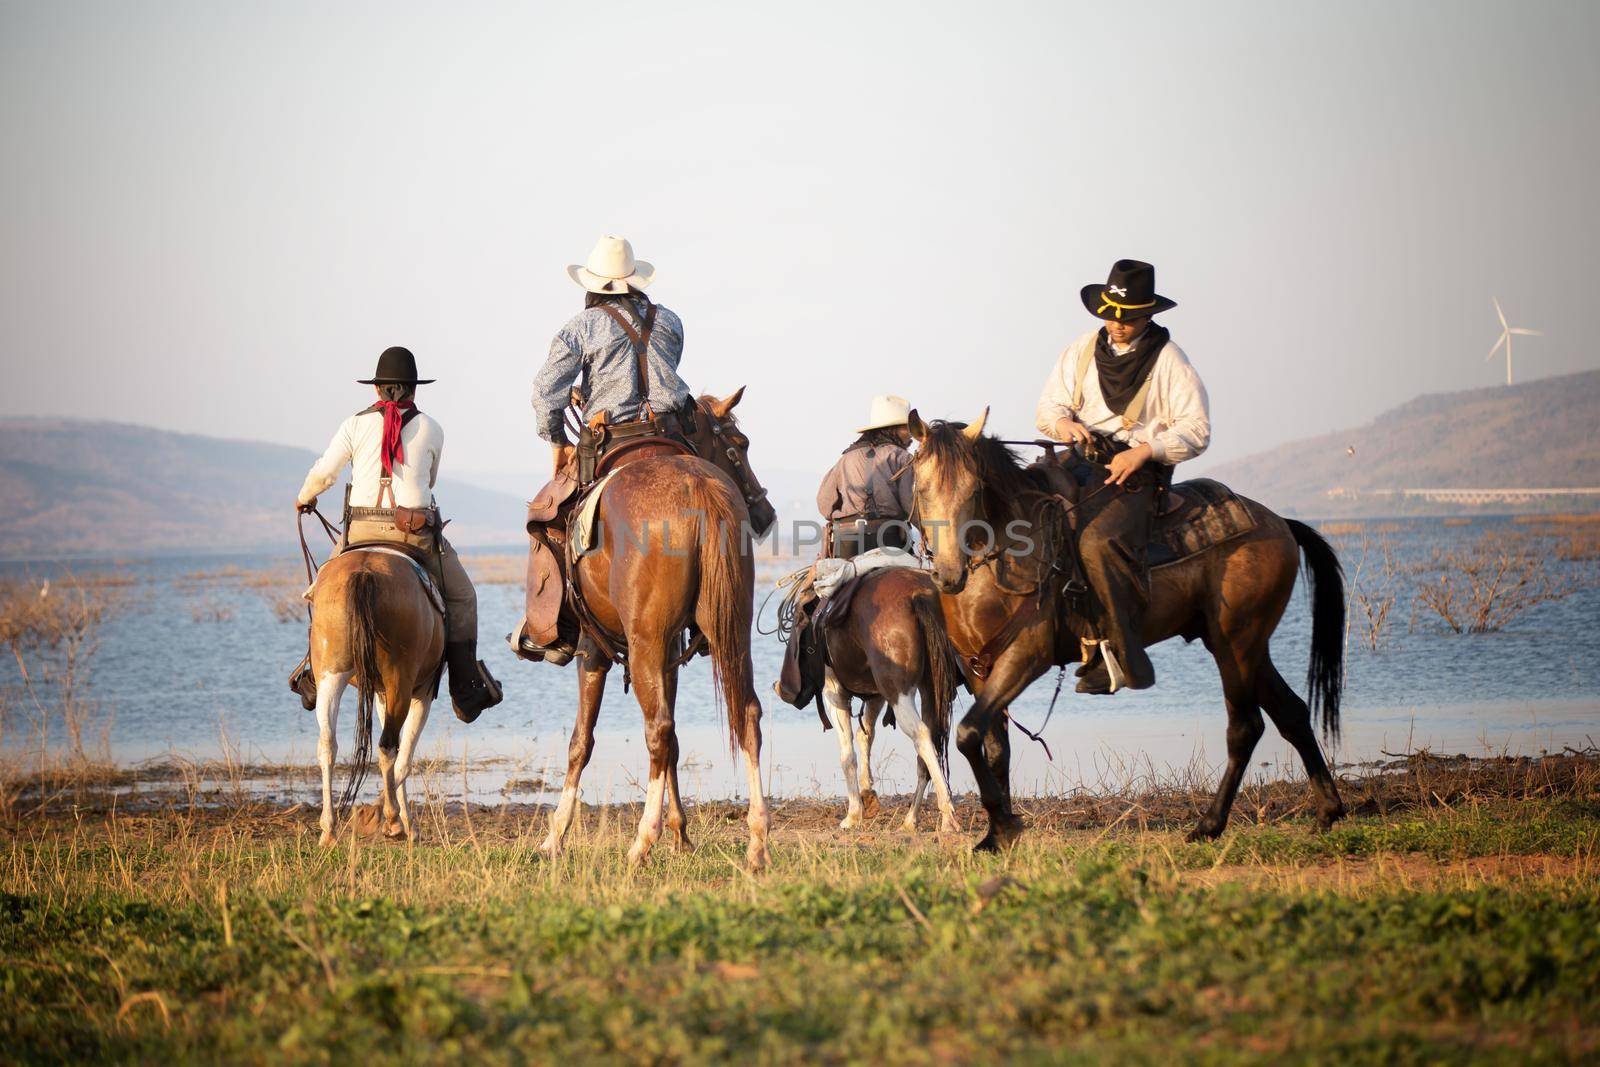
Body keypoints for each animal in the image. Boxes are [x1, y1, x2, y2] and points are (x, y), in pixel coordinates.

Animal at [308, 550, 444, 844]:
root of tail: (364, 571)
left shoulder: (382, 695)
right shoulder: (422, 694)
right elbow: (404, 760)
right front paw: (406, 824)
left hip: (330, 674)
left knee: (327, 744)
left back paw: (328, 829)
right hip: (399, 683)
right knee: (389, 747)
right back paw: (392, 820)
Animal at [540, 390, 777, 870]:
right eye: (739, 445)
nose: (765, 514)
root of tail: (699, 488)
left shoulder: (595, 649)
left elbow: (581, 740)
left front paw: (555, 835)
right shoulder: (670, 654)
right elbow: (676, 745)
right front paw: (681, 833)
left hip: (643, 643)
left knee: (658, 729)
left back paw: (641, 841)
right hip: (732, 634)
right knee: (745, 714)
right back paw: (757, 839)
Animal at [825, 566, 960, 831]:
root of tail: (918, 594)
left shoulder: (833, 691)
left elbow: (848, 754)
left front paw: (853, 814)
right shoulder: (875, 695)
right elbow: (865, 735)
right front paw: (868, 793)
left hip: (899, 695)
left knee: (922, 736)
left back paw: (948, 813)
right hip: (928, 690)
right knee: (930, 744)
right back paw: (912, 819)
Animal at [908, 409, 1344, 851]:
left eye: (975, 489)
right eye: (921, 488)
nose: (948, 574)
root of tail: (1279, 523)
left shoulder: (1026, 657)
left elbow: (967, 734)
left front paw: (1004, 824)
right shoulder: (978, 666)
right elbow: (993, 745)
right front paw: (998, 832)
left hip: (1233, 643)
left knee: (1245, 727)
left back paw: (1209, 824)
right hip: (1248, 644)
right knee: (1291, 713)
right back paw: (1327, 811)